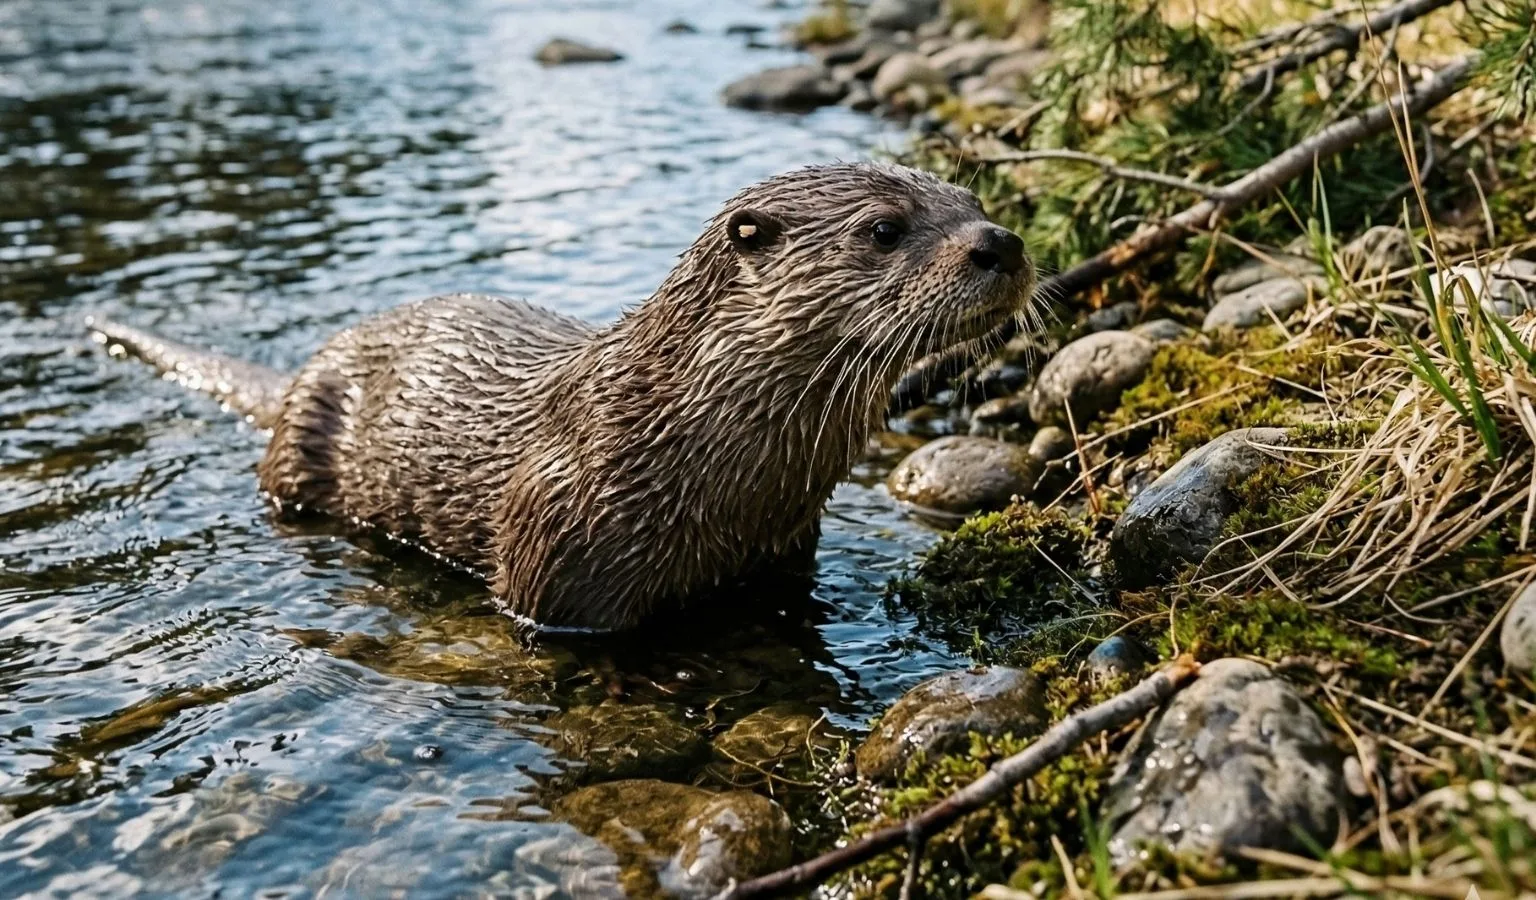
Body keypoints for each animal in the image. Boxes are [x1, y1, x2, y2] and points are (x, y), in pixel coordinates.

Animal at [92, 163, 1035, 630]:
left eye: (976, 199)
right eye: (883, 229)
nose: (1002, 242)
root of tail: (301, 370)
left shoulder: (785, 551)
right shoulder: (556, 562)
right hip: (301, 452)